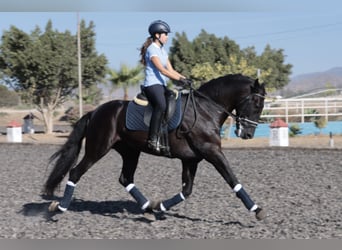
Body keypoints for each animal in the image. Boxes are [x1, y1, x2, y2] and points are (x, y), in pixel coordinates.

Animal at [43, 73, 268, 221]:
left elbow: (187, 190)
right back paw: (59, 208)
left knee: (125, 179)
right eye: (257, 103)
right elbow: (233, 180)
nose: (248, 134)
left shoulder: (191, 159)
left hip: (130, 152)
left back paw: (148, 209)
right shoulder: (212, 152)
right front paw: (257, 210)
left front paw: (159, 207)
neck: (205, 110)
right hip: (97, 149)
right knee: (75, 173)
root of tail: (95, 112)